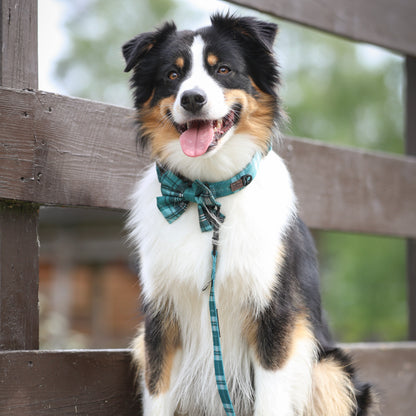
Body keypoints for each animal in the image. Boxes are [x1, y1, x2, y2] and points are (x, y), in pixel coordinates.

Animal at [122, 11, 374, 414]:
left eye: (223, 69)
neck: (208, 192)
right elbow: (157, 392)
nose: (192, 99)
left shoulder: (275, 317)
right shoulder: (160, 321)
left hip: (330, 369)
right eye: (172, 75)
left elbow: (270, 399)